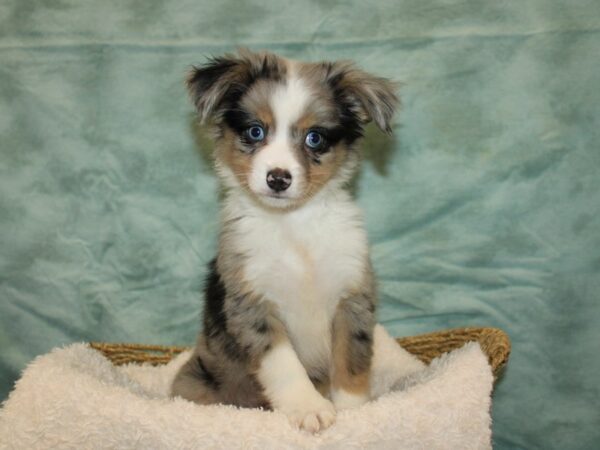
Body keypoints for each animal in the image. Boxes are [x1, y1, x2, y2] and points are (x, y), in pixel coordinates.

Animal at [171, 48, 398, 432]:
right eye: (255, 131)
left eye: (314, 138)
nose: (278, 178)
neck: (293, 227)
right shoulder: (251, 302)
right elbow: (284, 364)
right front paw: (309, 408)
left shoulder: (351, 294)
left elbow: (351, 358)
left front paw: (354, 411)